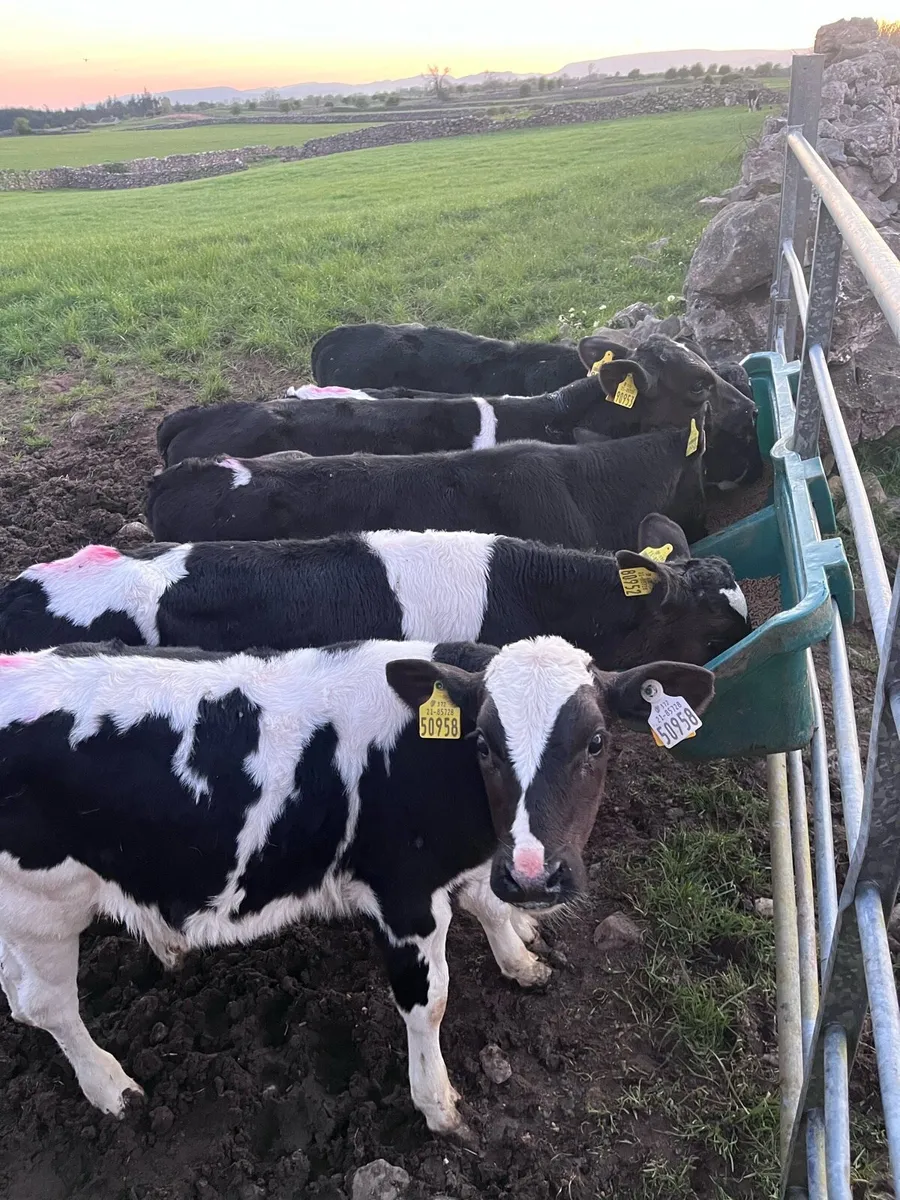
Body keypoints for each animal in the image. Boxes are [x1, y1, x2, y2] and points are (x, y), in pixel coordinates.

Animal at [0, 634, 715, 1139]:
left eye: (596, 742)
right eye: (483, 744)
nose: (537, 876)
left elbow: (488, 901)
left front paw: (520, 959)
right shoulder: (405, 896)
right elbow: (429, 1002)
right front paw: (438, 1104)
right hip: (41, 904)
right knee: (47, 1005)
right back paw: (111, 1086)